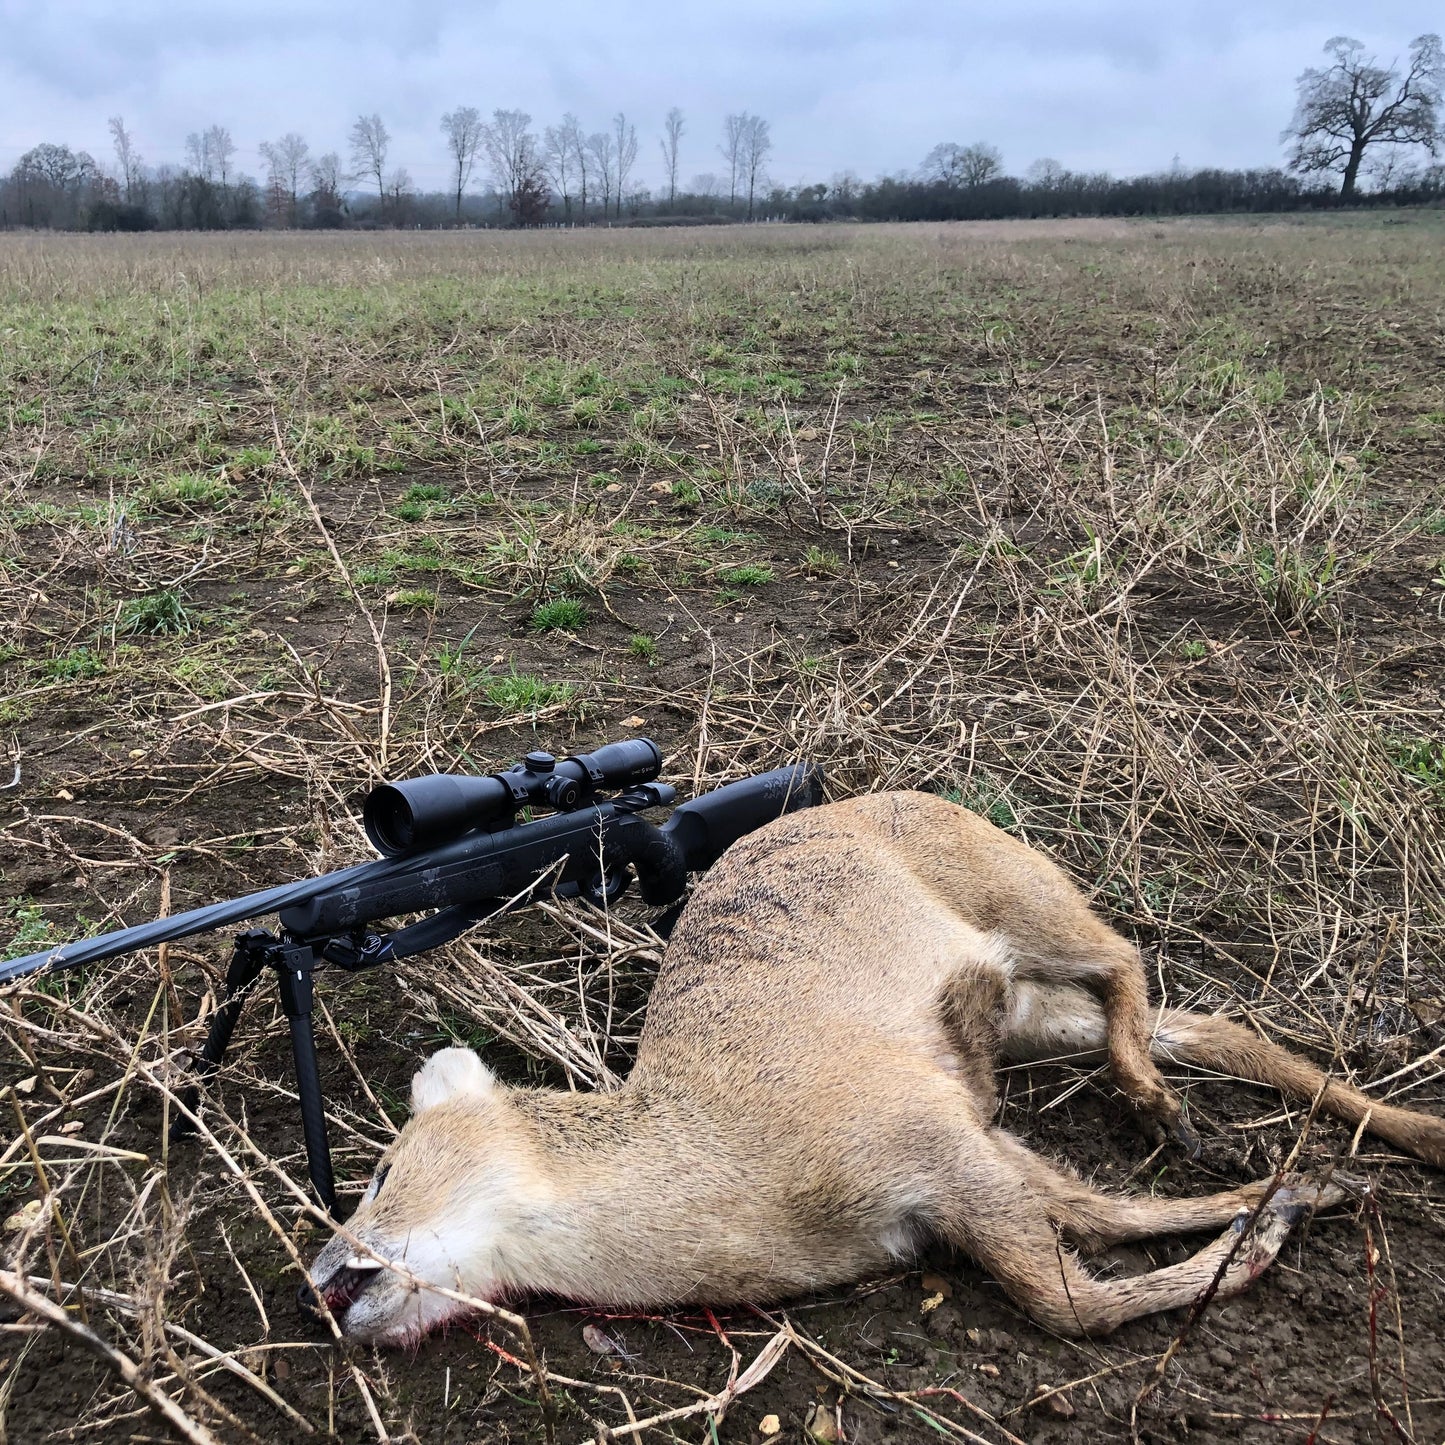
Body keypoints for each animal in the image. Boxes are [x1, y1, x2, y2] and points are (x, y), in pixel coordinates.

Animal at [306, 791, 1445, 1346]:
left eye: (383, 1166)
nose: (322, 1277)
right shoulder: (958, 1153)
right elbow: (1099, 1215)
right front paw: (1302, 1190)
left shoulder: (930, 1137)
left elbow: (1067, 1299)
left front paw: (1275, 1219)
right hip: (1033, 1013)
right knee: (1203, 1024)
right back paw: (1398, 1131)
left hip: (1017, 888)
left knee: (1122, 953)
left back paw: (1158, 1101)